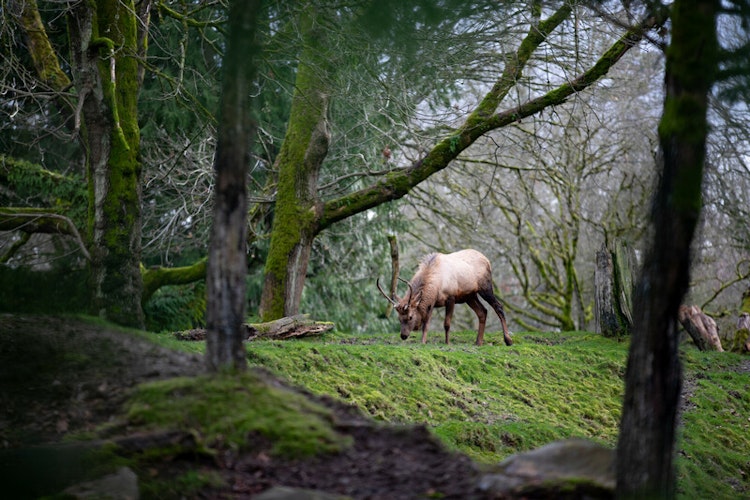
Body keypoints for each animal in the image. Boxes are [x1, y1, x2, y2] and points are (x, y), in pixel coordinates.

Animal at [378, 248, 516, 346]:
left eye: (410, 316)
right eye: (399, 318)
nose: (403, 335)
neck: (436, 285)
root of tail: (487, 260)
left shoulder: (451, 298)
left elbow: (447, 324)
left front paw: (447, 342)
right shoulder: (431, 303)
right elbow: (426, 324)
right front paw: (423, 342)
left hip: (485, 287)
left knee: (498, 306)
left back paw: (508, 340)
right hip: (469, 296)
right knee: (483, 311)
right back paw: (478, 342)